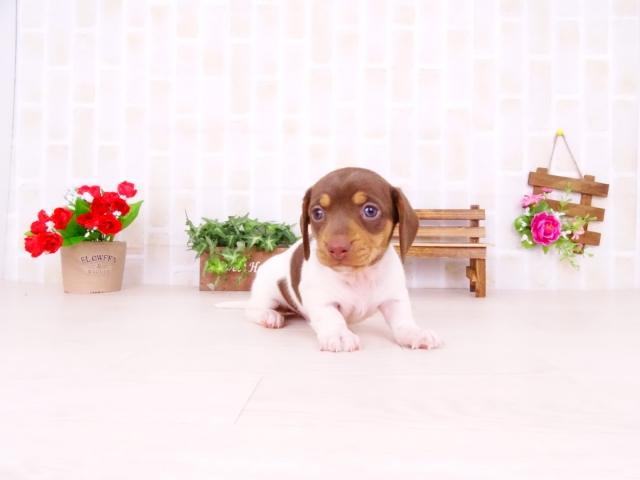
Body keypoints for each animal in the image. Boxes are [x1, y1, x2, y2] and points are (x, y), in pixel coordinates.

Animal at [216, 167, 443, 352]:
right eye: (317, 213)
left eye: (370, 210)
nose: (336, 248)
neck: (357, 276)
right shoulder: (320, 299)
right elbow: (331, 318)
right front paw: (339, 334)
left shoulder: (394, 298)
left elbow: (403, 319)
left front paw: (414, 332)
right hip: (267, 294)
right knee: (252, 309)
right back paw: (269, 316)